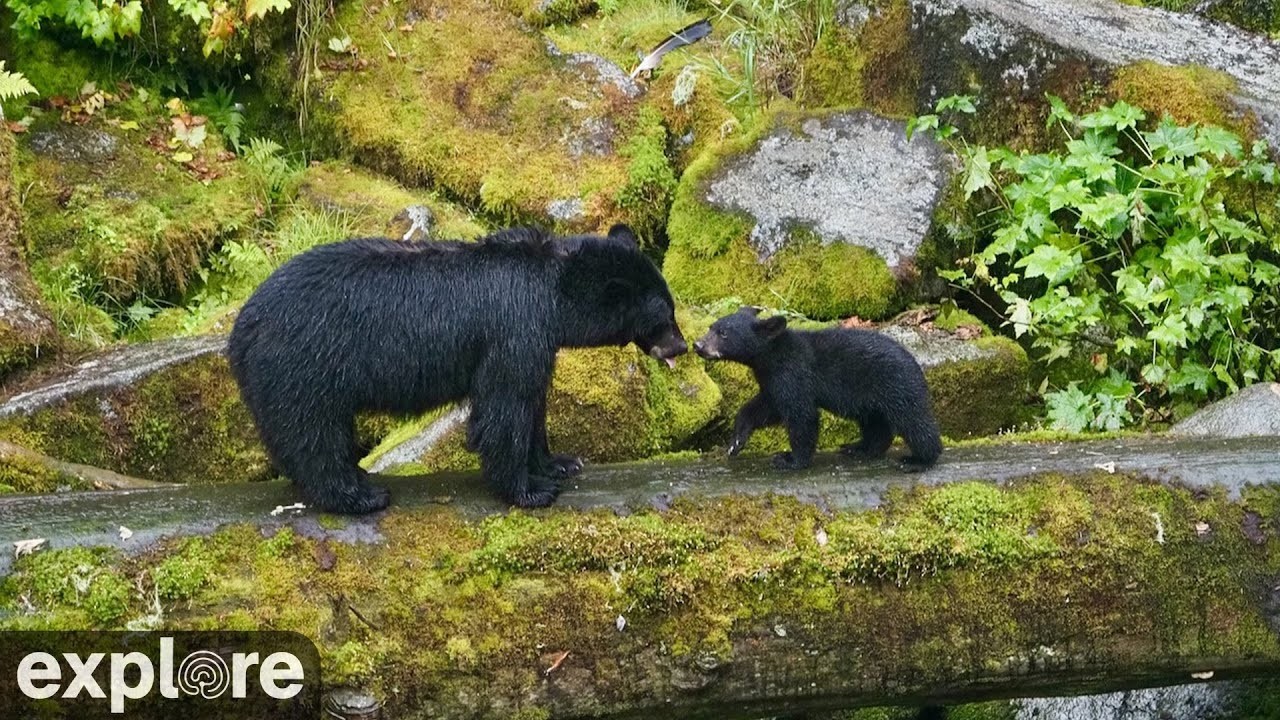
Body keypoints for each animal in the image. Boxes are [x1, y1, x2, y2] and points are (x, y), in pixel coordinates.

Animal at [228, 225, 687, 514]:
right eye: (663, 317)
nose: (682, 346)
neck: (555, 289)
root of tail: (242, 329)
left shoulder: (537, 338)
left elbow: (533, 402)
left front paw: (557, 462)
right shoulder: (514, 328)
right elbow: (506, 407)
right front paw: (531, 490)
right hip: (307, 363)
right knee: (313, 434)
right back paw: (360, 495)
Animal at [693, 307, 942, 471]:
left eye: (723, 333)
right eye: (711, 327)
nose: (698, 345)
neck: (772, 356)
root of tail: (917, 365)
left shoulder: (794, 373)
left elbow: (801, 415)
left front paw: (790, 459)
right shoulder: (773, 380)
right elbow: (764, 407)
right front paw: (735, 443)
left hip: (897, 387)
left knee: (914, 421)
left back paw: (920, 460)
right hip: (871, 399)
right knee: (876, 424)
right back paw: (859, 448)